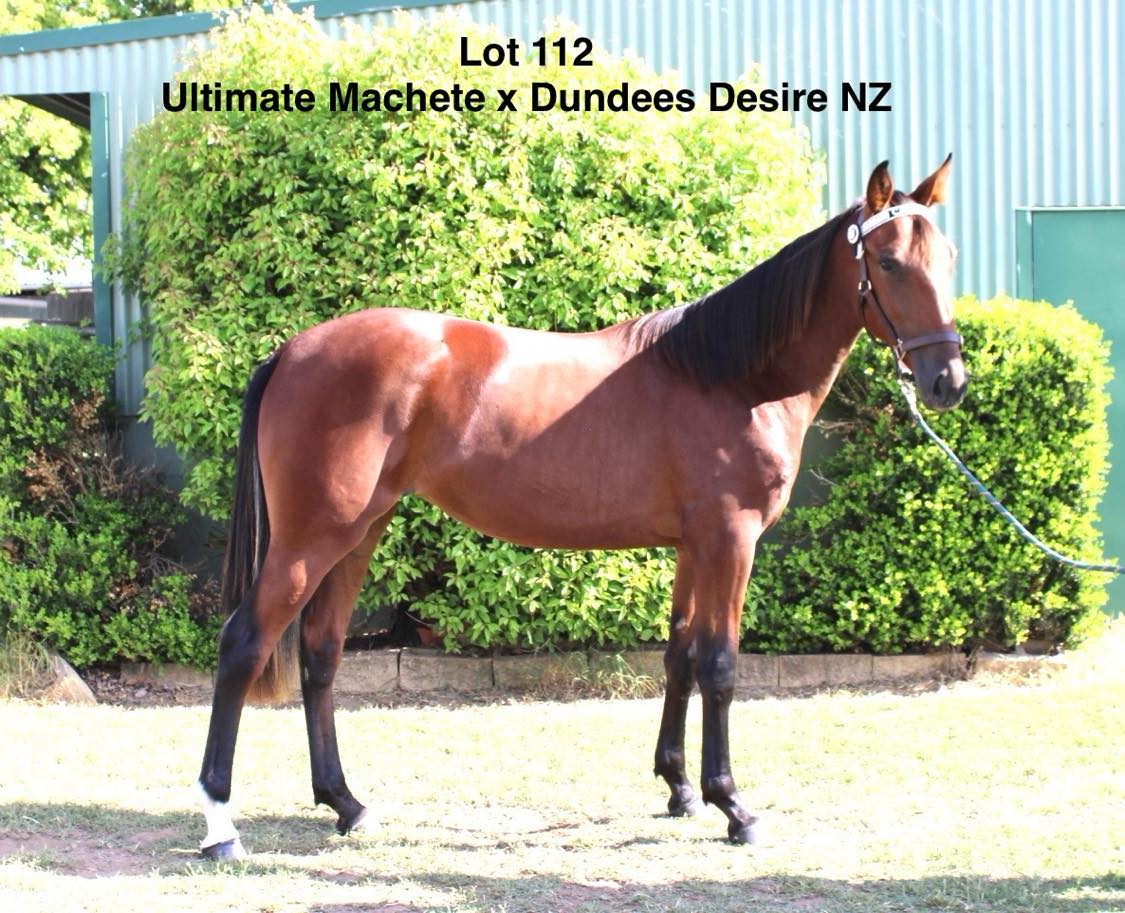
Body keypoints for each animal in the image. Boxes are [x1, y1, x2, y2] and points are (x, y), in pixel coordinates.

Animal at [194, 157, 966, 860]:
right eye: (889, 263)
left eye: (948, 257)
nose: (947, 380)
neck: (732, 376)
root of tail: (293, 350)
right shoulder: (730, 537)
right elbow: (719, 664)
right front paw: (732, 806)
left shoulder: (693, 545)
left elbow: (679, 654)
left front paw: (679, 790)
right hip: (310, 538)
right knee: (244, 644)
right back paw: (221, 826)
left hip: (357, 533)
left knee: (321, 653)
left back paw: (346, 804)